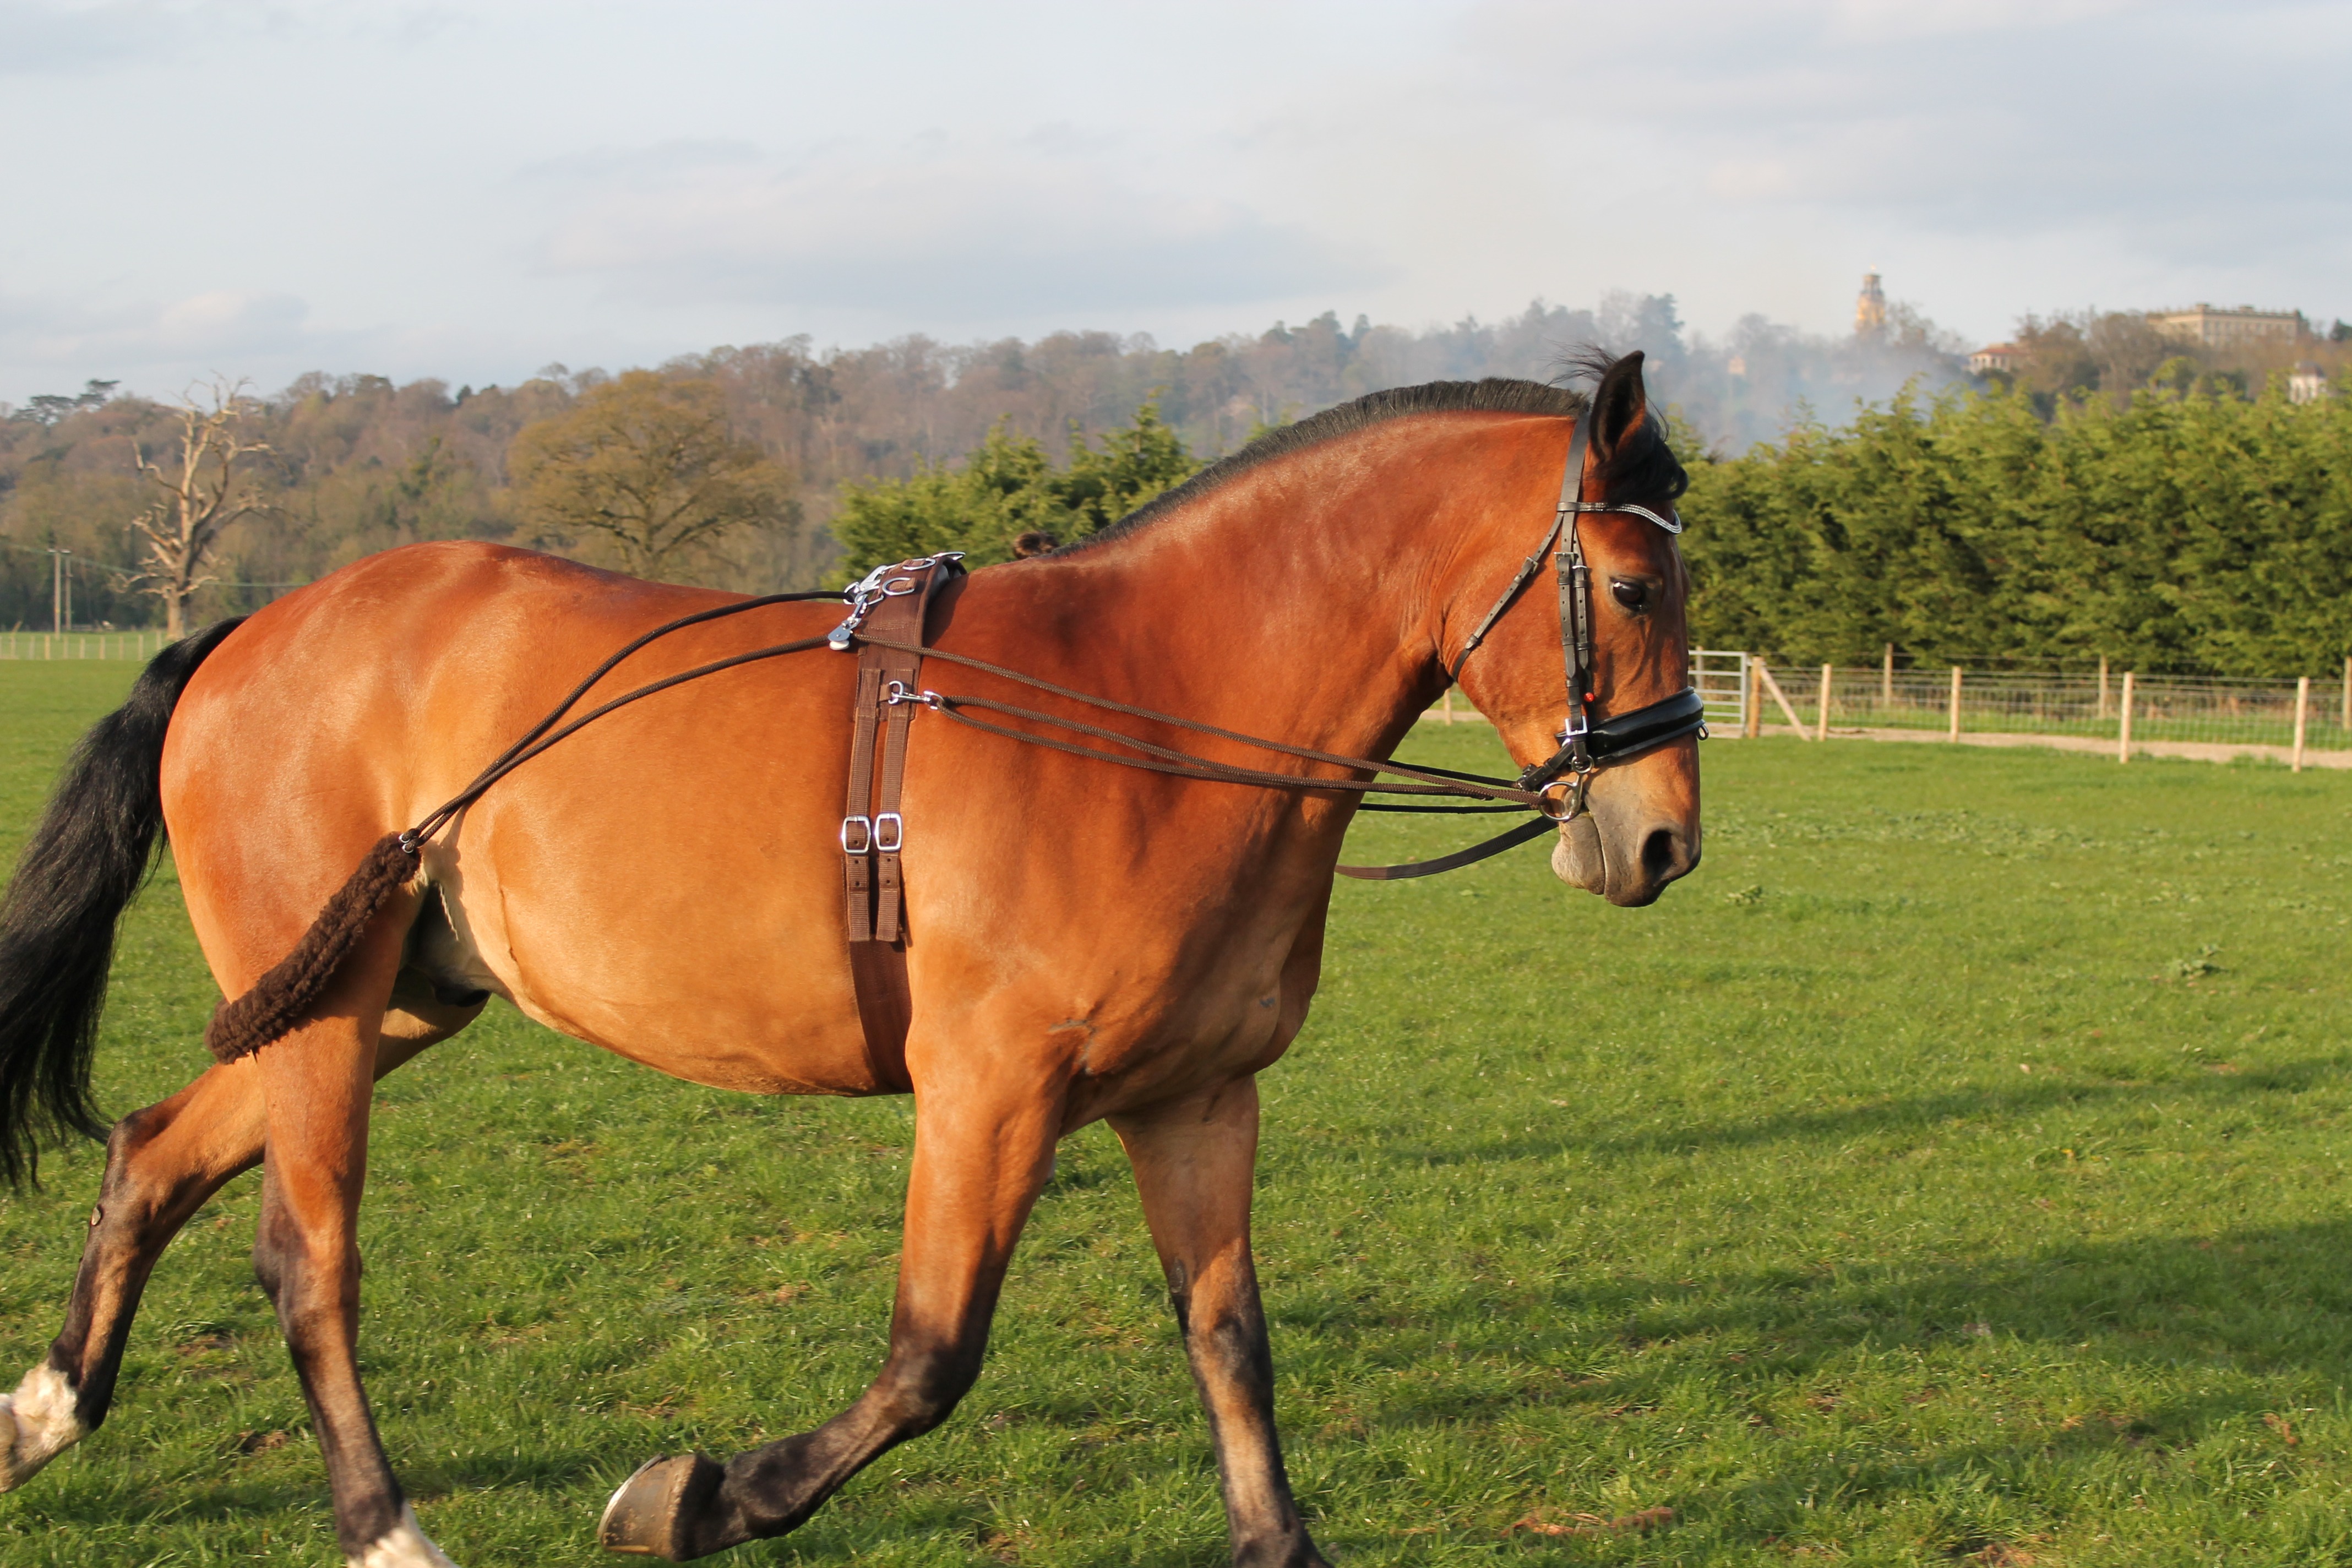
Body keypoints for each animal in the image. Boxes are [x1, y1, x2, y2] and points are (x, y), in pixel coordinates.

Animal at [0, 354, 1699, 1566]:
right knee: (308, 1262)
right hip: (335, 1025)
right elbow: (930, 1359)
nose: (1663, 839)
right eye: (1630, 583)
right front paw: (697, 1496)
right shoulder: (989, 1091)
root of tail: (242, 636)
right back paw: (383, 1527)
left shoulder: (1199, 1099)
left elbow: (1231, 1345)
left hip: (381, 1006)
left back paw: (44, 1412)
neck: (1149, 710)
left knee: (151, 1152)